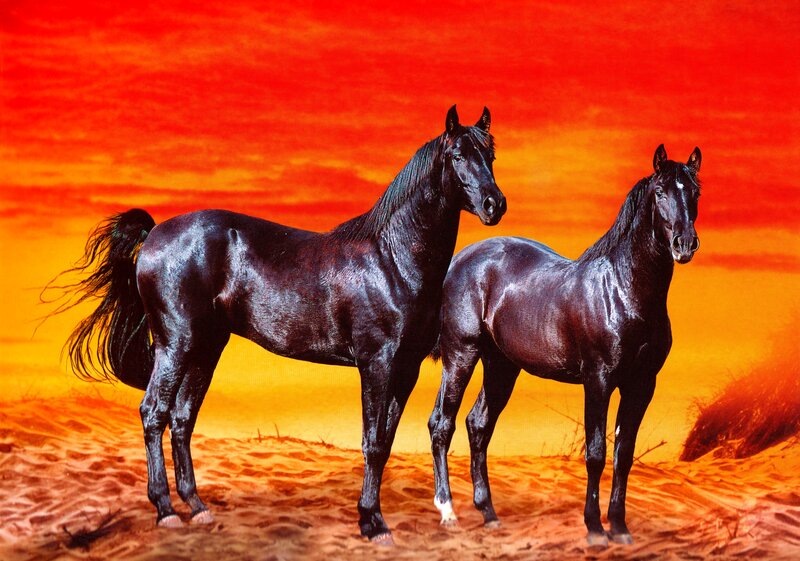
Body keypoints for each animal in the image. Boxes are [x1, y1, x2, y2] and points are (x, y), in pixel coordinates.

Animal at [53, 106, 506, 544]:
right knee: (154, 413)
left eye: (491, 156)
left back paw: (197, 508)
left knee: (181, 419)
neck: (391, 259)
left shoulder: (405, 369)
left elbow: (386, 441)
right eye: (458, 155)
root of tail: (154, 234)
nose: (494, 204)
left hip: (204, 349)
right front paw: (373, 523)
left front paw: (372, 517)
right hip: (175, 345)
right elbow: (373, 442)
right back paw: (165, 511)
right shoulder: (377, 364)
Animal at [428, 145, 701, 547]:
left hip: (501, 366)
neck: (623, 291)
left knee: (478, 425)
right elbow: (596, 453)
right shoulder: (598, 381)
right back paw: (448, 513)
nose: (685, 245)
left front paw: (619, 528)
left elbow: (624, 454)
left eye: (694, 192)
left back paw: (489, 515)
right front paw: (595, 530)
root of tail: (461, 259)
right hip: (461, 355)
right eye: (661, 193)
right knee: (441, 424)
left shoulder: (641, 385)